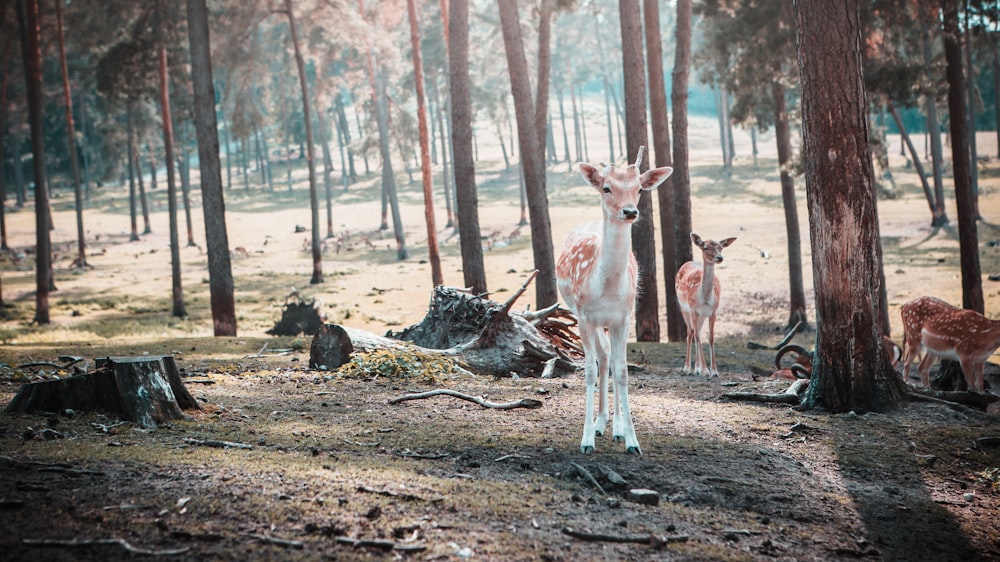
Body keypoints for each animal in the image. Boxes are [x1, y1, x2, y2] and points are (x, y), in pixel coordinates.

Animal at [556, 149, 672, 456]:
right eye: (606, 187)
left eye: (640, 188)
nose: (630, 211)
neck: (606, 288)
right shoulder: (584, 317)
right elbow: (588, 371)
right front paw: (586, 440)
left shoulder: (624, 318)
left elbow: (622, 371)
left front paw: (632, 441)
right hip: (588, 318)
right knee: (603, 355)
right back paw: (600, 424)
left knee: (610, 357)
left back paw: (615, 428)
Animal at [672, 232, 736, 376]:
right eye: (706, 247)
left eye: (720, 247)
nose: (719, 257)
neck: (705, 299)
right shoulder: (693, 310)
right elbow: (695, 335)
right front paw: (699, 369)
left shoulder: (713, 312)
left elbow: (711, 338)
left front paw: (714, 371)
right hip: (684, 308)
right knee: (691, 333)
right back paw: (688, 368)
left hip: (701, 316)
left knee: (698, 333)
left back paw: (701, 369)